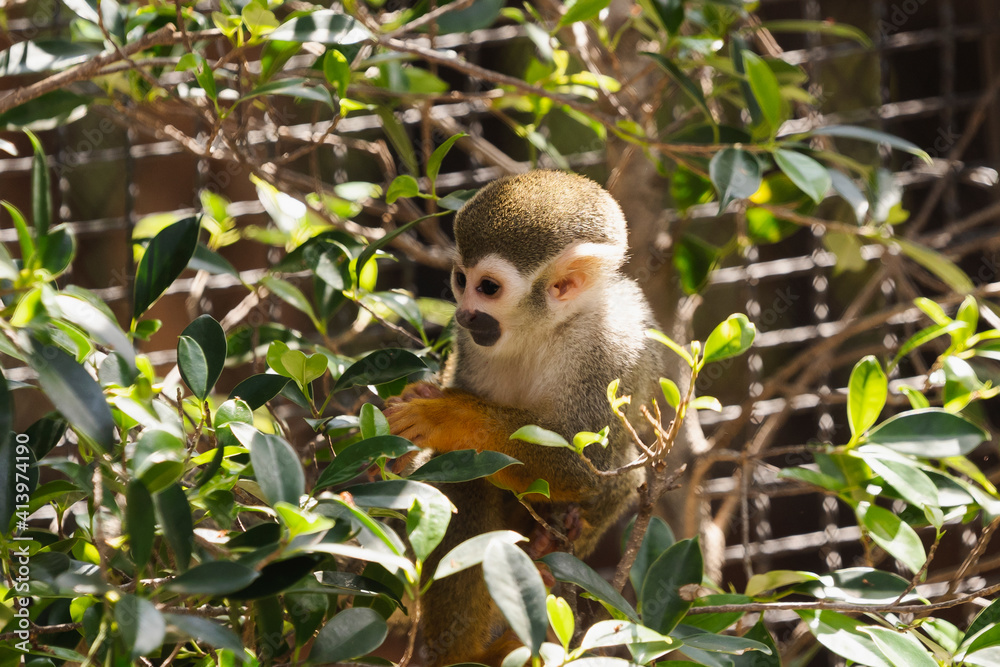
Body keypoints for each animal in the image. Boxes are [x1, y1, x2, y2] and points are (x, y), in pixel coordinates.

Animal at [386, 170, 668, 664]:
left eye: (489, 288)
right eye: (461, 279)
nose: (465, 313)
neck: (544, 330)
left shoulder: (606, 356)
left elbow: (584, 467)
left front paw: (447, 415)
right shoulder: (470, 343)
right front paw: (421, 399)